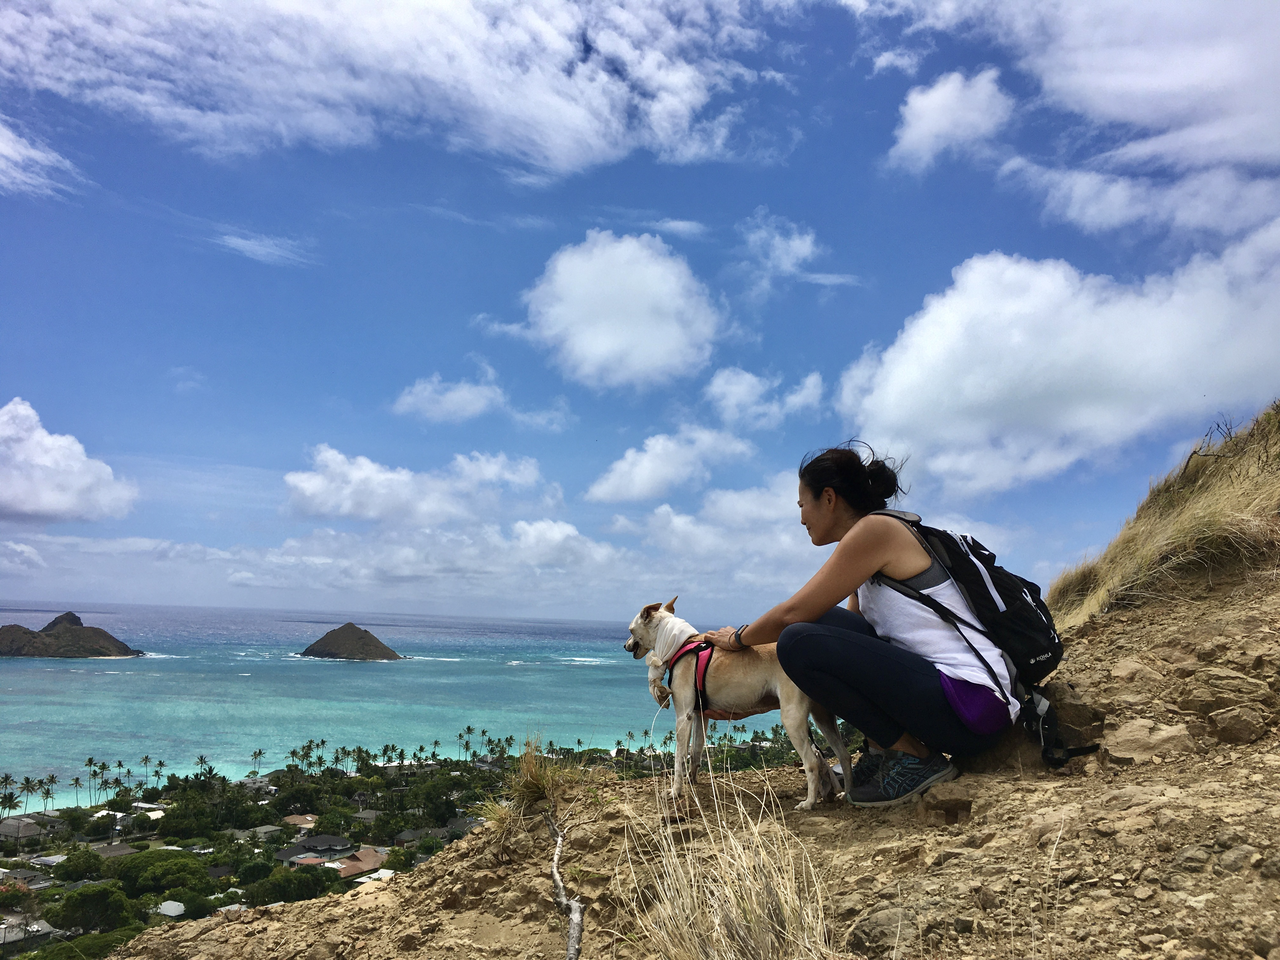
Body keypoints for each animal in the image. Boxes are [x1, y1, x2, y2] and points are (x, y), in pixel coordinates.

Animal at [627, 601, 855, 814]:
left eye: (630, 630)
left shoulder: (684, 716)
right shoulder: (700, 715)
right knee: (844, 754)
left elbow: (679, 757)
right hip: (822, 716)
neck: (679, 642)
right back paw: (847, 795)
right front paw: (692, 781)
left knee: (812, 762)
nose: (625, 646)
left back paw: (809, 802)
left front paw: (675, 791)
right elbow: (696, 751)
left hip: (791, 717)